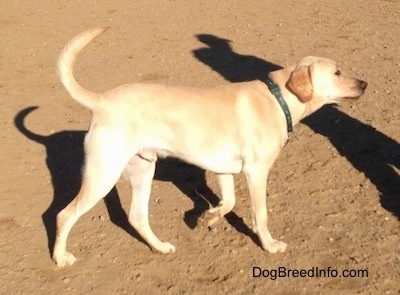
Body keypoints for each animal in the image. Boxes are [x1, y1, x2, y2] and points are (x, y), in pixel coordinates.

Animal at [51, 28, 368, 268]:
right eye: (337, 72)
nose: (364, 83)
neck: (278, 98)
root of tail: (101, 101)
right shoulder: (256, 172)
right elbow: (260, 214)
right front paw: (269, 245)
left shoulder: (223, 169)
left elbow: (228, 202)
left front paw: (208, 217)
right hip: (104, 174)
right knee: (64, 215)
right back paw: (60, 258)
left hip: (143, 170)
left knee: (137, 217)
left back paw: (160, 247)